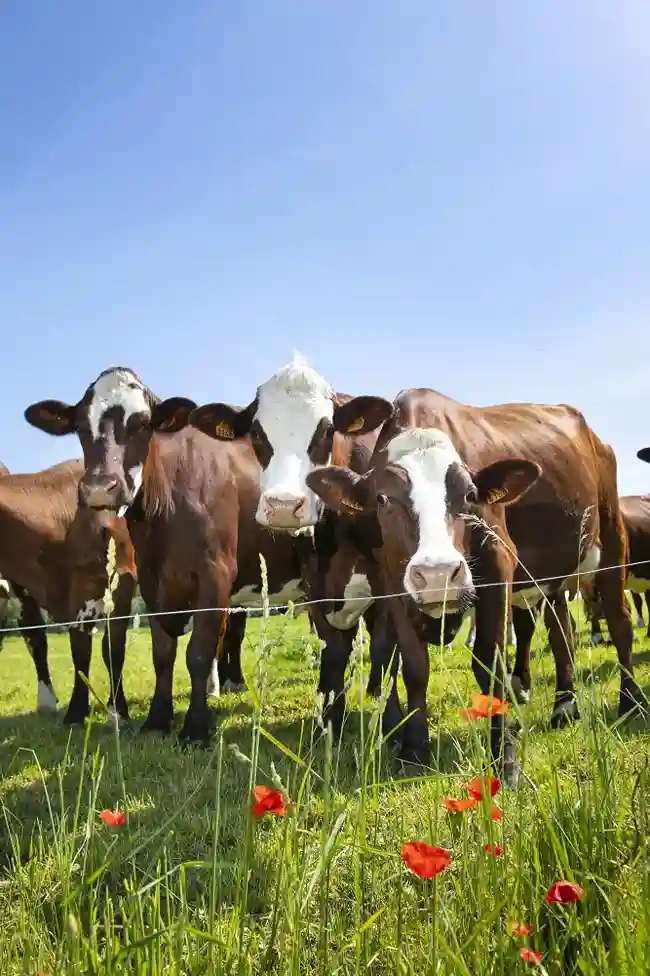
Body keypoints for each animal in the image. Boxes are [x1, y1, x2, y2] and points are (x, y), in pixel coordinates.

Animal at [304, 389, 644, 785]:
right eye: (382, 499)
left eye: (469, 494)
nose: (438, 574)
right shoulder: (394, 584)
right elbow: (414, 667)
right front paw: (414, 751)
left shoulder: (499, 563)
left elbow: (490, 664)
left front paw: (505, 758)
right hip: (553, 576)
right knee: (563, 632)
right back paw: (564, 705)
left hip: (611, 537)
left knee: (620, 622)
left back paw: (631, 701)